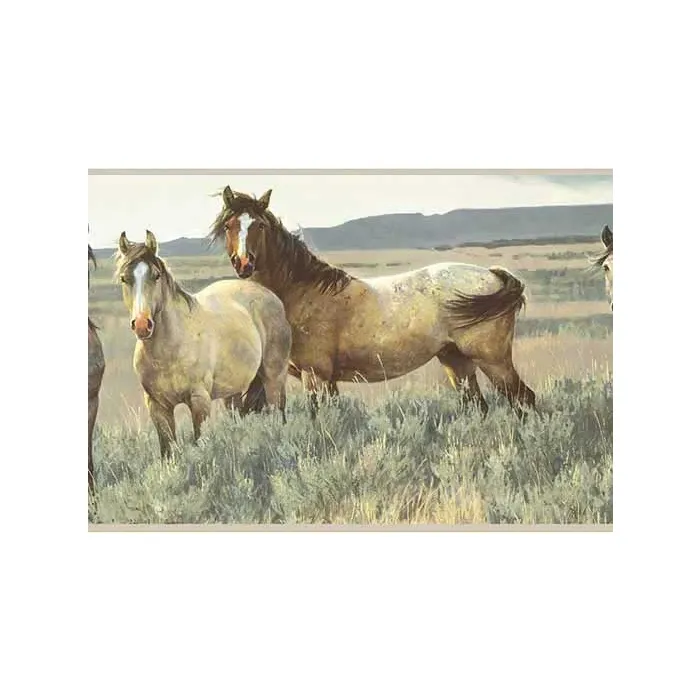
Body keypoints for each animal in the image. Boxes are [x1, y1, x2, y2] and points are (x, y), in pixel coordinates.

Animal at [116, 230, 292, 458]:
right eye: (124, 278)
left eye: (156, 276)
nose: (142, 324)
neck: (170, 349)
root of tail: (272, 297)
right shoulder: (157, 406)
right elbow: (168, 450)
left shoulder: (199, 401)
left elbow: (200, 441)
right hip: (233, 392)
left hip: (274, 377)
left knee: (278, 412)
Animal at [208, 186, 536, 417]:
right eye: (229, 226)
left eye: (259, 226)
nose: (244, 264)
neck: (299, 293)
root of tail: (493, 275)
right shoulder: (326, 380)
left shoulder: (315, 376)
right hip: (456, 362)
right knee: (479, 406)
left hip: (493, 361)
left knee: (523, 400)